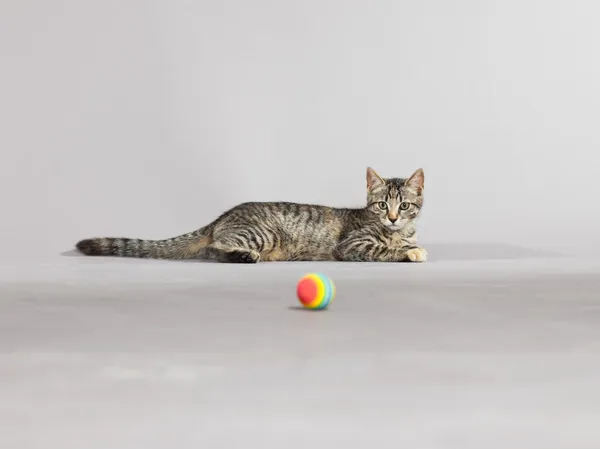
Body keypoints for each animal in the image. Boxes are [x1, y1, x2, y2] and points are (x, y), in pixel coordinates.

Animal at [76, 168, 426, 262]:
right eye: (381, 206)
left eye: (404, 206)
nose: (392, 217)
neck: (399, 232)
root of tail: (223, 215)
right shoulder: (351, 245)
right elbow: (383, 250)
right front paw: (408, 252)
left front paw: (411, 246)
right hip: (261, 234)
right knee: (211, 250)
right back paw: (241, 257)